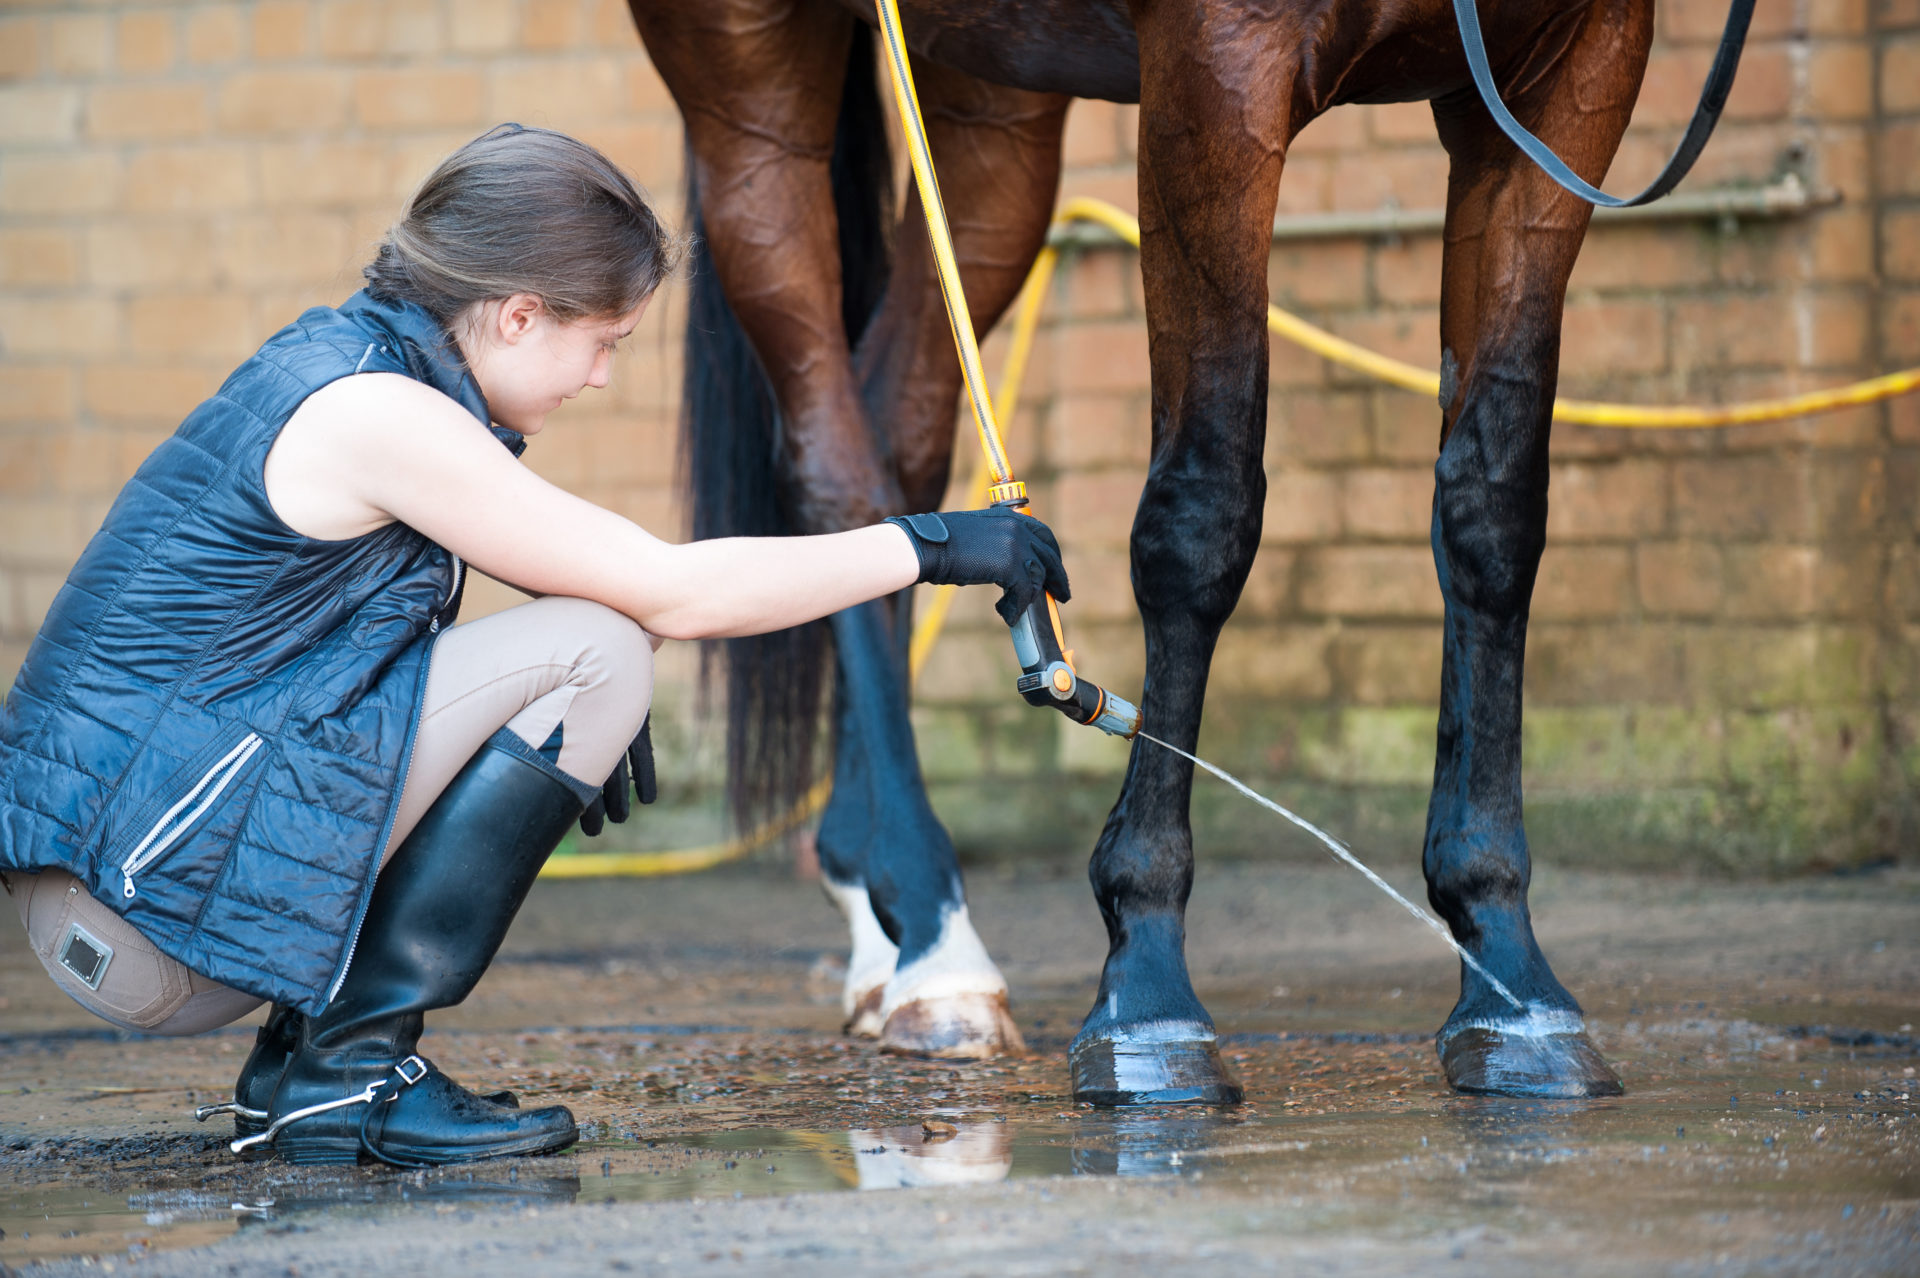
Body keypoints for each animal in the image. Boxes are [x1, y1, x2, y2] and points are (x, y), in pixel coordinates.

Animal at [629, 0, 1666, 1097]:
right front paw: (1147, 986)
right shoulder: (1215, 77)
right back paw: (934, 941)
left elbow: (1492, 501)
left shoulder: (1567, 80)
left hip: (985, 97)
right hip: (747, 81)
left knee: (893, 422)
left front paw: (1510, 973)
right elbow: (1201, 516)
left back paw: (881, 918)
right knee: (835, 461)